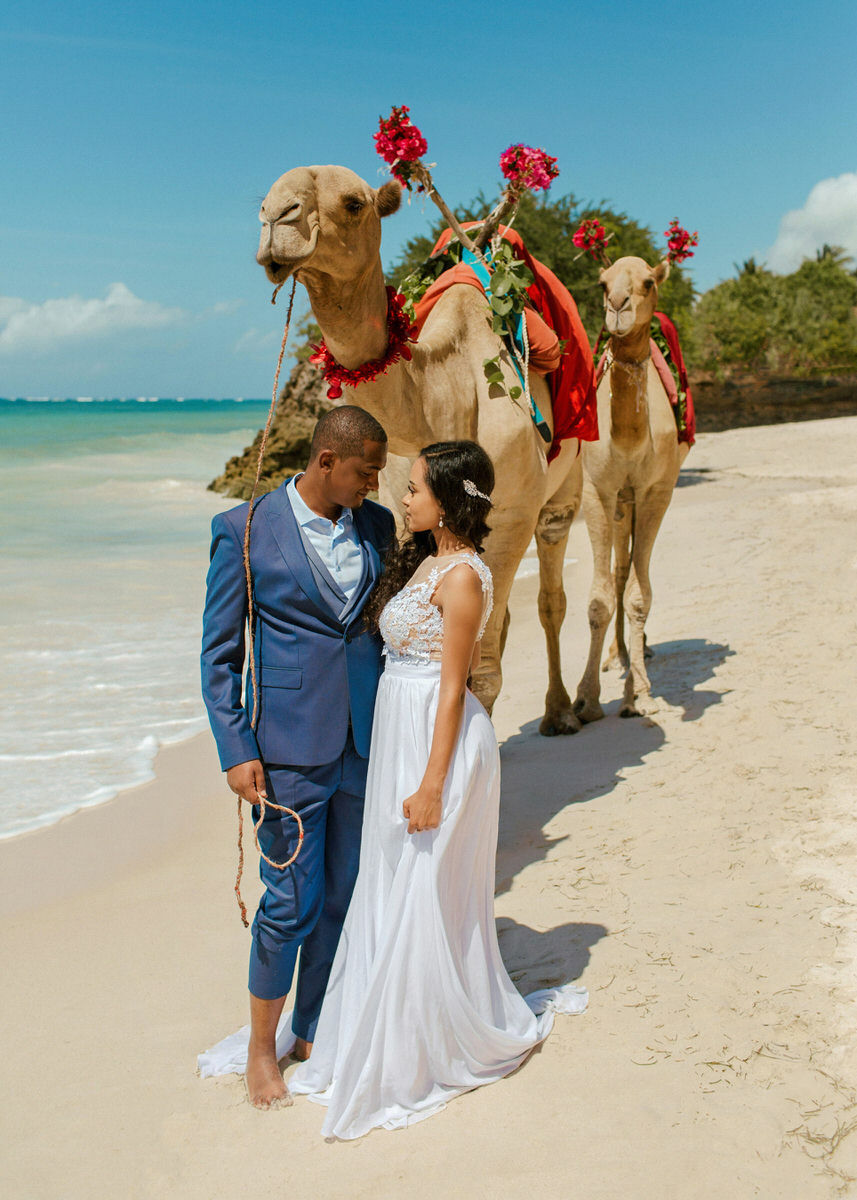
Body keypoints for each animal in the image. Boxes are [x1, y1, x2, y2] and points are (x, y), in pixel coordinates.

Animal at [253, 164, 583, 734]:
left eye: (354, 203)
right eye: (265, 202)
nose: (276, 220)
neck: (446, 396)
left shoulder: (513, 516)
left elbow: (483, 674)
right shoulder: (402, 509)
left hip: (571, 484)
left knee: (565, 585)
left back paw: (579, 706)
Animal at [571, 256, 691, 715]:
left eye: (648, 282)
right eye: (602, 283)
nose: (618, 306)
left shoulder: (657, 490)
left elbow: (641, 594)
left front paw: (639, 692)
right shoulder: (597, 490)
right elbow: (599, 597)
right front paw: (585, 700)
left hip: (636, 500)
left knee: (630, 574)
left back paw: (639, 653)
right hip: (619, 502)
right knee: (619, 571)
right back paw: (617, 656)